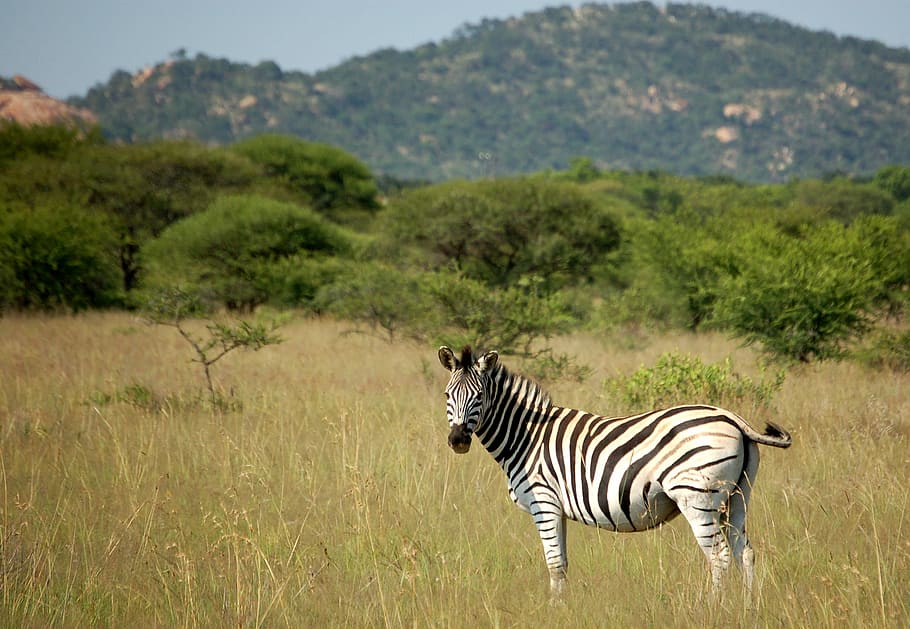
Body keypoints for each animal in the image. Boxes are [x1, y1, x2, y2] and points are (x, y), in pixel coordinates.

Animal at [438, 345, 791, 596]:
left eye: (479, 397)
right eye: (446, 395)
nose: (457, 440)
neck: (525, 437)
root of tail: (733, 417)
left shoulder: (544, 503)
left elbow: (554, 564)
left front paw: (554, 609)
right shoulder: (558, 509)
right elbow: (563, 564)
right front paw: (562, 609)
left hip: (698, 499)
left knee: (719, 558)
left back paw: (713, 610)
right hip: (738, 497)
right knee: (745, 553)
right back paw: (746, 609)